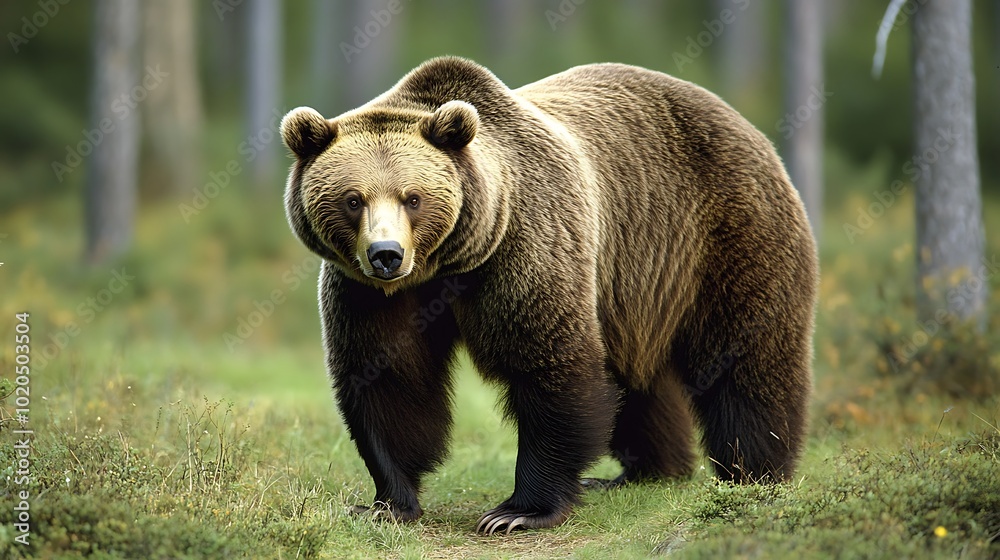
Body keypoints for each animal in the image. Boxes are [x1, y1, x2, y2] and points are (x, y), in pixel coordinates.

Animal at [279, 56, 817, 535]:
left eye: (413, 197)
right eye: (354, 199)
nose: (386, 254)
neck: (449, 261)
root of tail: (744, 123)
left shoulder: (526, 245)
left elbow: (550, 366)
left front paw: (517, 511)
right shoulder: (371, 294)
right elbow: (388, 378)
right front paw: (388, 503)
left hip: (723, 235)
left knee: (746, 356)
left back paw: (753, 475)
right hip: (635, 290)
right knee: (638, 376)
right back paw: (643, 472)